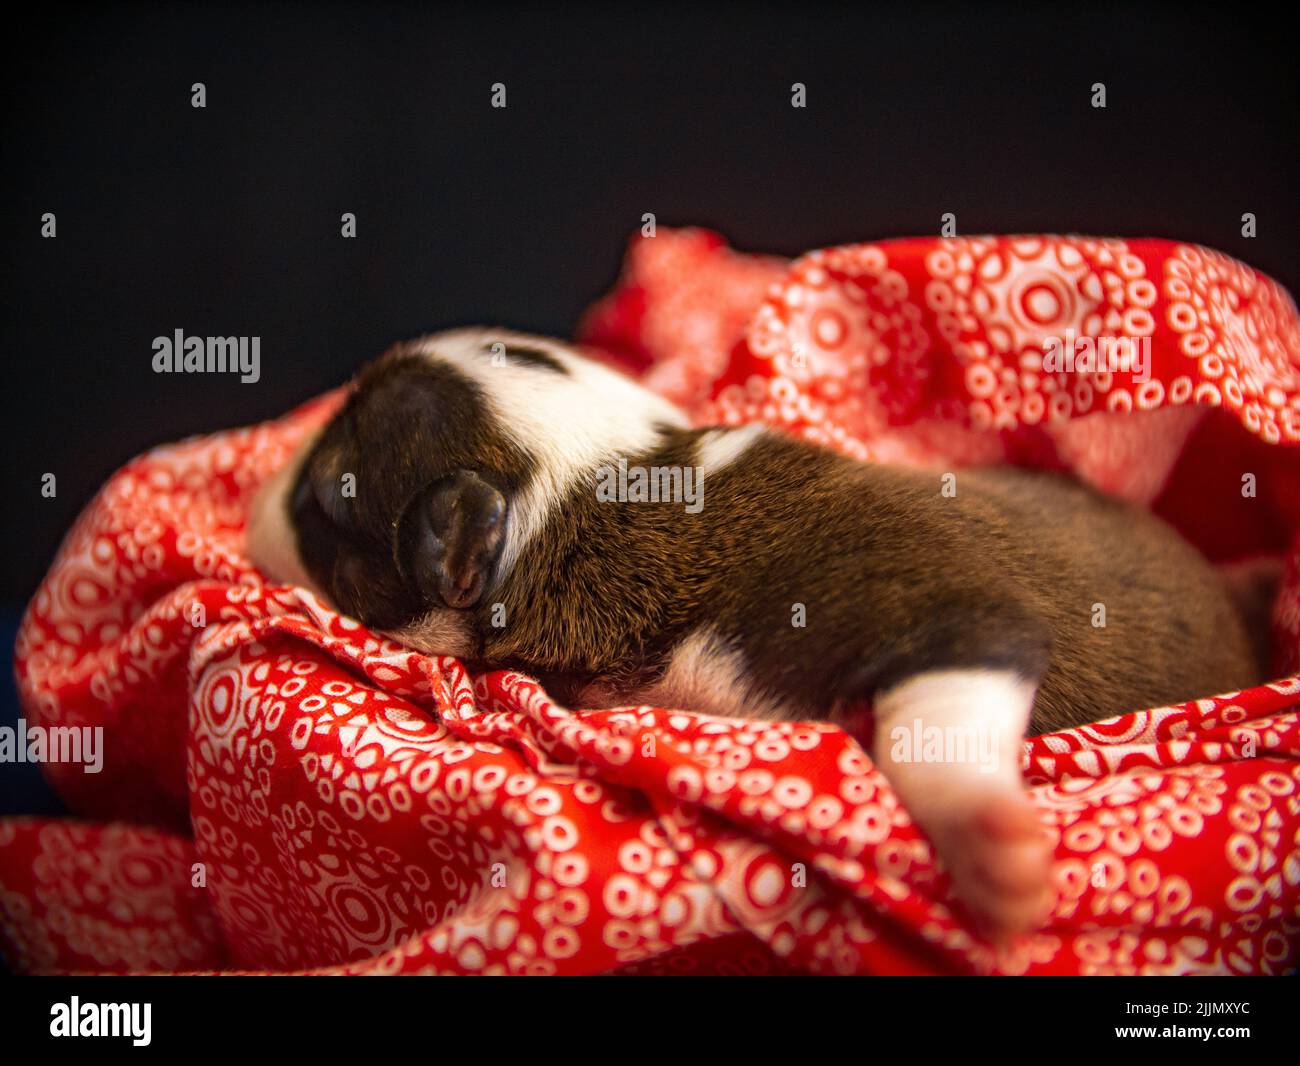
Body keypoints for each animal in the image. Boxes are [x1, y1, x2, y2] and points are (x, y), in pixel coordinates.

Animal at [245, 326, 1258, 941]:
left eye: (324, 496)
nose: (260, 490)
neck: (605, 482)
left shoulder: (896, 591)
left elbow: (952, 689)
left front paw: (992, 842)